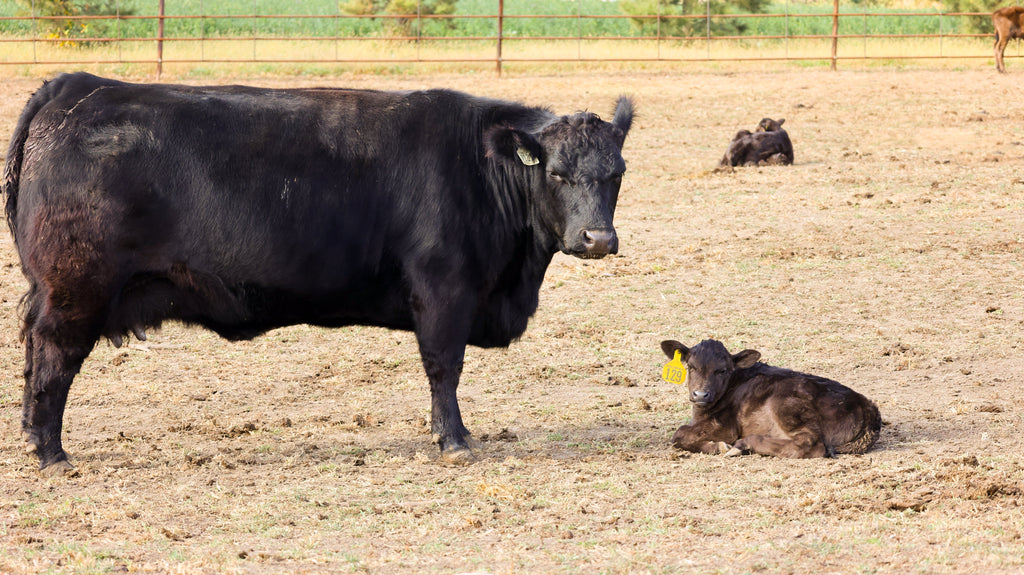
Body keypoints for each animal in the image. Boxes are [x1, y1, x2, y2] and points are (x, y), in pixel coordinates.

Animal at [2, 72, 630, 470]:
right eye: (555, 173)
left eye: (617, 172)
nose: (598, 239)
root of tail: (76, 87)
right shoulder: (444, 290)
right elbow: (443, 368)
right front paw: (453, 440)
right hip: (75, 288)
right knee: (54, 358)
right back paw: (51, 452)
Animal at [663, 335, 880, 456]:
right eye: (691, 366)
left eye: (722, 370)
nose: (701, 394)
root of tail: (867, 405)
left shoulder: (725, 425)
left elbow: (678, 434)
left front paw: (720, 446)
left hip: (785, 403)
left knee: (811, 444)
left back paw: (744, 444)